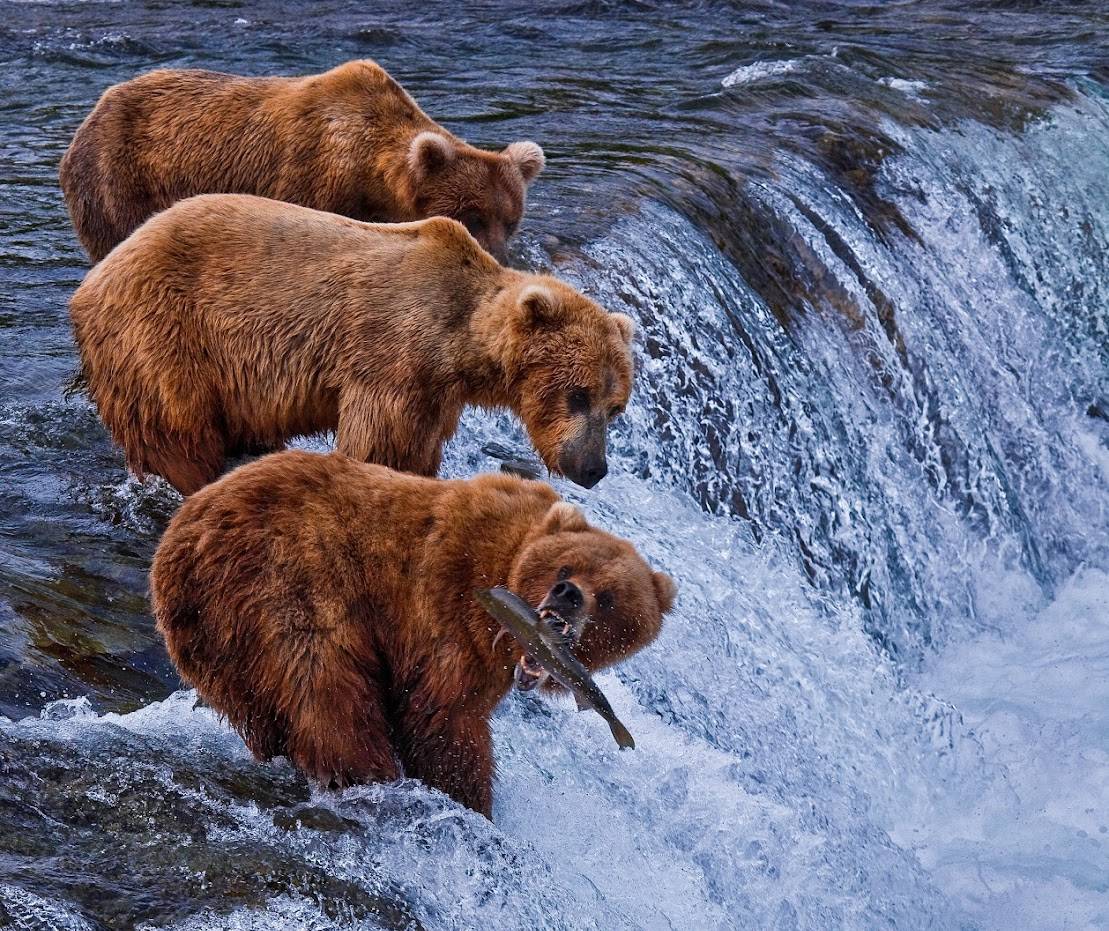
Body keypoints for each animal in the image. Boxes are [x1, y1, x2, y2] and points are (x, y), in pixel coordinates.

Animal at [60, 59, 545, 261]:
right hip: (117, 176)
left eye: (511, 220)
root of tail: (94, 110)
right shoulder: (308, 179)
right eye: (472, 216)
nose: (502, 257)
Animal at [69, 194, 638, 499]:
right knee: (176, 428)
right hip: (163, 334)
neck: (455, 342)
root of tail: (93, 279)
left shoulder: (434, 393)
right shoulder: (389, 362)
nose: (594, 469)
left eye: (616, 407)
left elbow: (417, 447)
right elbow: (379, 443)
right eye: (578, 394)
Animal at [149, 450, 674, 816]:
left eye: (609, 597)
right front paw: (472, 801)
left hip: (213, 638)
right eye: (566, 565)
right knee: (325, 687)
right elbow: (444, 720)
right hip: (285, 575)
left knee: (263, 708)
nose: (567, 594)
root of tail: (179, 540)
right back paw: (365, 775)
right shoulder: (448, 606)